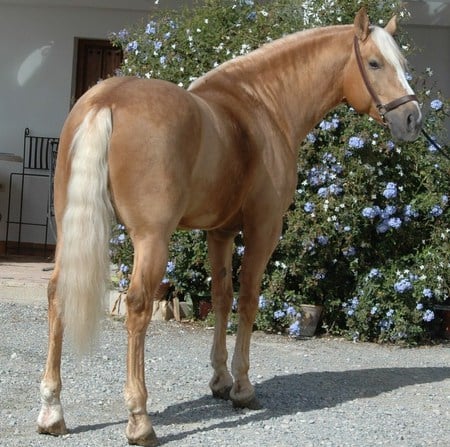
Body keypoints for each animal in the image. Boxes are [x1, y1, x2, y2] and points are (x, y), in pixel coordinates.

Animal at [37, 8, 420, 446]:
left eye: (402, 65)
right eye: (374, 63)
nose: (412, 118)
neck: (263, 106)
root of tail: (107, 100)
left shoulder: (219, 233)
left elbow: (221, 297)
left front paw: (220, 381)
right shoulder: (263, 229)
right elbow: (249, 300)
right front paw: (242, 388)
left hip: (70, 232)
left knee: (57, 295)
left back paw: (52, 412)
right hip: (152, 241)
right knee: (137, 307)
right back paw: (140, 420)